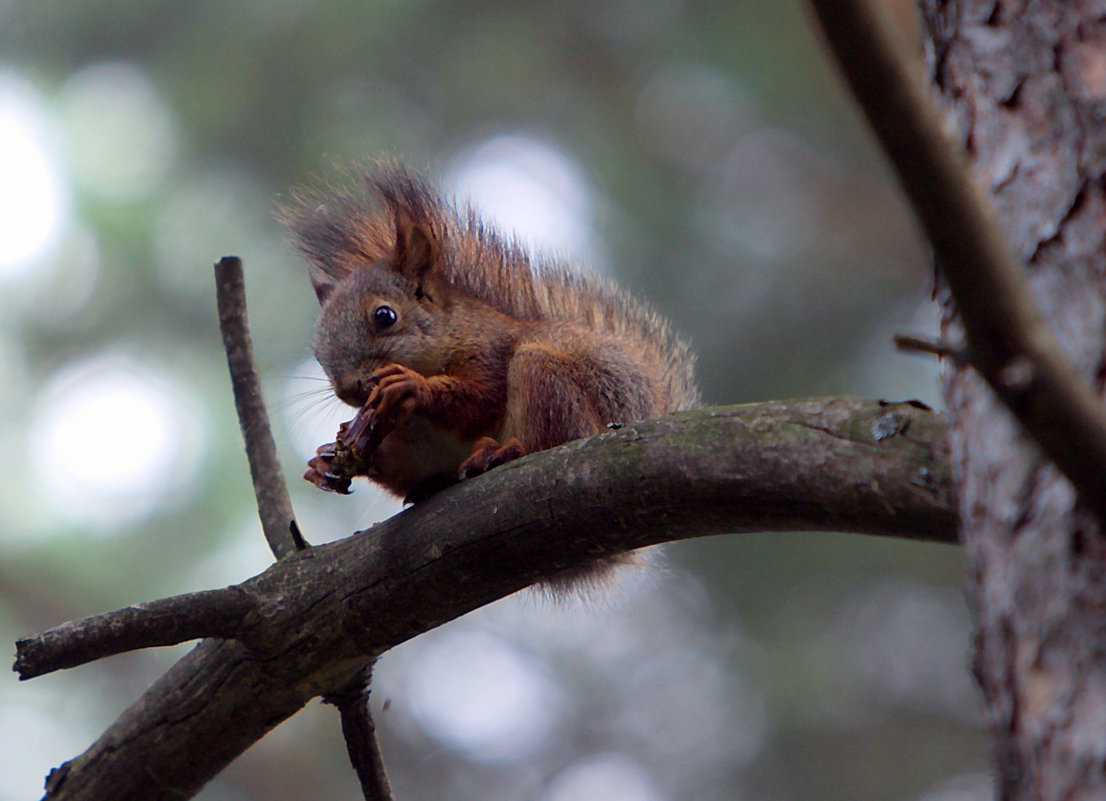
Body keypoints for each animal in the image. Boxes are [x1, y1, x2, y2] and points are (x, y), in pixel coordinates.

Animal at [283, 163, 698, 531]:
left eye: (385, 316)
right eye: (317, 350)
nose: (348, 388)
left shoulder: (490, 349)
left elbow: (481, 397)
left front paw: (412, 386)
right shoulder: (413, 443)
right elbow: (404, 466)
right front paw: (326, 460)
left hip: (545, 378)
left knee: (552, 437)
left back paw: (506, 451)